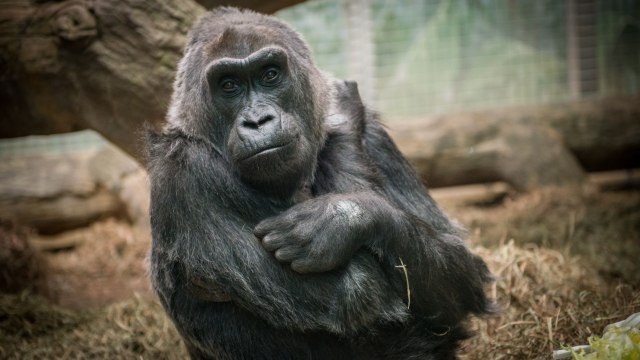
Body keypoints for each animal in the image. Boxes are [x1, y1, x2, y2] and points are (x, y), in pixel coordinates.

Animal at [148, 6, 492, 360]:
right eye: (228, 85)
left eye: (269, 75)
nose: (257, 121)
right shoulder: (184, 172)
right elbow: (357, 287)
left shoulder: (376, 139)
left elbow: (460, 267)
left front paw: (342, 218)